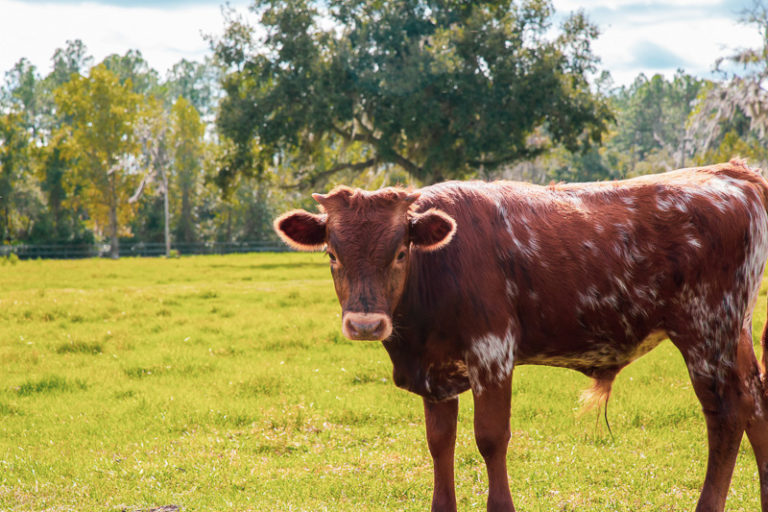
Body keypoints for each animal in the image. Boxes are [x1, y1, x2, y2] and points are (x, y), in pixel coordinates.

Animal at [274, 159, 768, 512]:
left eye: (399, 252)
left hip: (708, 331)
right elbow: (440, 443)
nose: (365, 324)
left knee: (727, 415)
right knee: (757, 403)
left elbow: (491, 438)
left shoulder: (492, 352)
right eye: (332, 254)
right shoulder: (436, 373)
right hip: (736, 333)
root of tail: (732, 172)